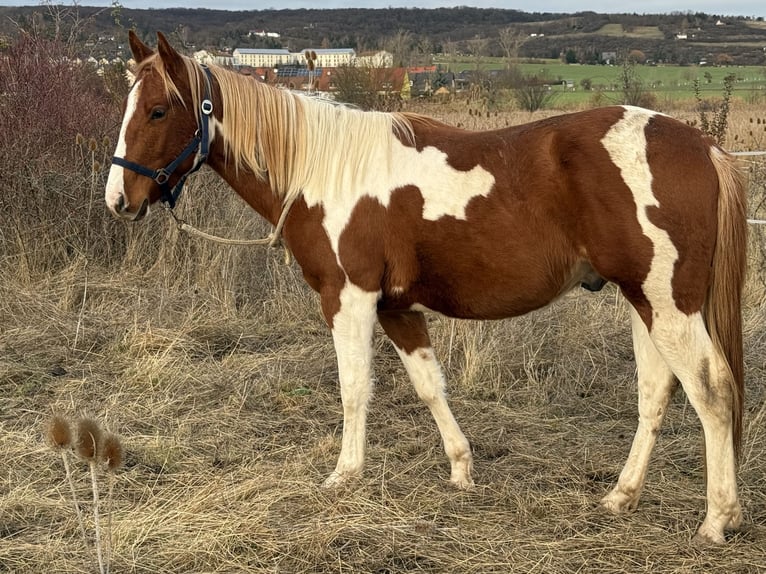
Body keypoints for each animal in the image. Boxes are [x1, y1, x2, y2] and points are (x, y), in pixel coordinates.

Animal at [105, 32, 747, 544]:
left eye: (158, 111)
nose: (118, 200)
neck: (324, 170)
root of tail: (703, 147)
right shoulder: (396, 308)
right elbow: (428, 386)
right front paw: (462, 469)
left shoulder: (348, 299)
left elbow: (354, 389)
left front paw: (344, 476)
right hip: (643, 302)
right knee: (656, 393)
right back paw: (621, 497)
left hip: (668, 305)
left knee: (712, 392)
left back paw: (717, 519)